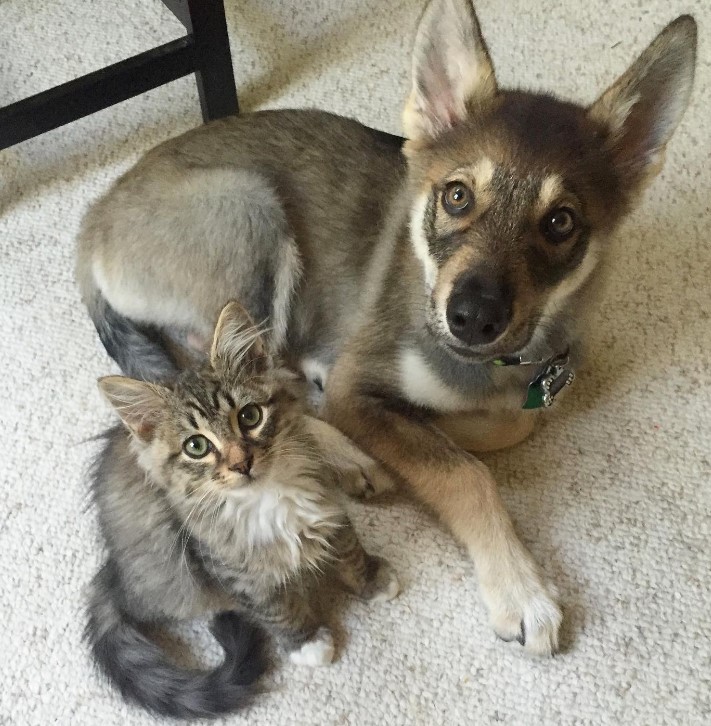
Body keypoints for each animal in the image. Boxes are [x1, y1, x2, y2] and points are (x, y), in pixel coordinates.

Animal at [76, 0, 696, 660]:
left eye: (561, 222)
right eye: (457, 196)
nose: (472, 318)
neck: (490, 365)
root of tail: (93, 220)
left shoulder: (536, 386)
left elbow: (510, 423)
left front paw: (445, 422)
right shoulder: (358, 383)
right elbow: (463, 472)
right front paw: (520, 589)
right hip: (251, 214)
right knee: (248, 373)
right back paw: (346, 453)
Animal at [85, 302, 400, 724]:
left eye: (250, 416)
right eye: (197, 446)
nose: (241, 463)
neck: (268, 496)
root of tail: (114, 573)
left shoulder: (327, 504)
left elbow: (349, 548)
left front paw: (372, 579)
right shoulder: (231, 567)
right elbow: (276, 608)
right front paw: (308, 642)